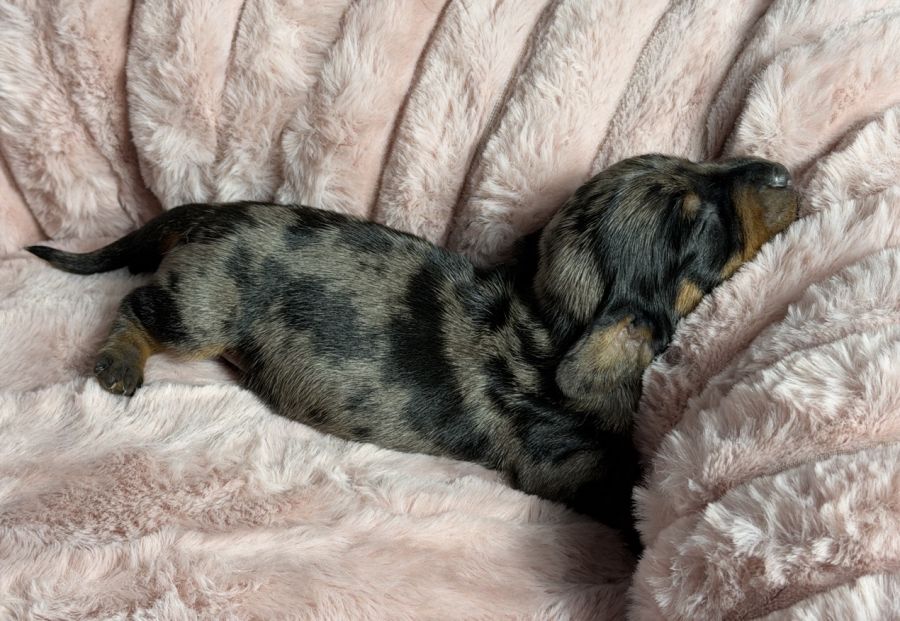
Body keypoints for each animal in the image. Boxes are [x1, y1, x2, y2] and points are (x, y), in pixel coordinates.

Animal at [27, 154, 798, 545]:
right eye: (708, 226)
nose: (782, 171)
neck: (548, 321)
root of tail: (209, 213)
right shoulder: (565, 465)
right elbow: (618, 491)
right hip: (201, 308)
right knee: (135, 307)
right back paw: (119, 364)